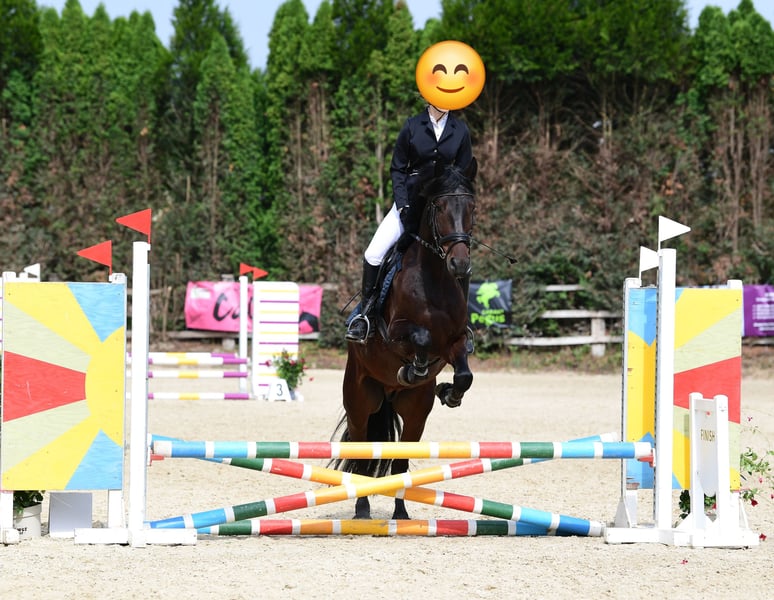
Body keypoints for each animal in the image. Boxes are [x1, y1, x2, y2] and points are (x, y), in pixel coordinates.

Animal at [333, 158, 477, 520]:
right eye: (439, 207)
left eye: (472, 207)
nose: (459, 263)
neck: (436, 279)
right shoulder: (394, 332)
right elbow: (421, 337)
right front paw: (413, 369)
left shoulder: (455, 343)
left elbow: (464, 373)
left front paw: (449, 392)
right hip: (360, 401)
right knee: (361, 453)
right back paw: (362, 509)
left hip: (415, 411)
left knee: (399, 462)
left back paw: (401, 514)